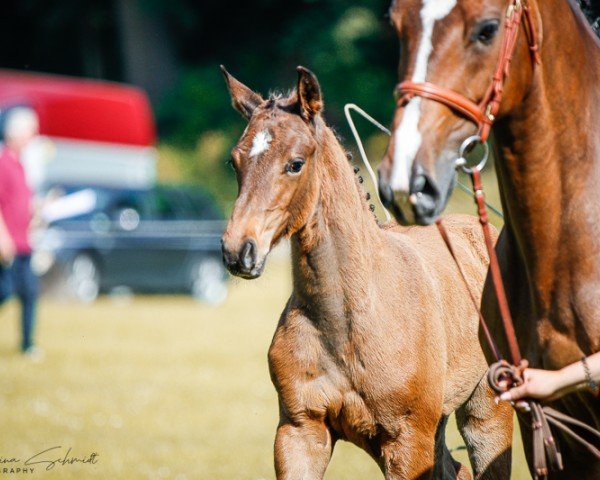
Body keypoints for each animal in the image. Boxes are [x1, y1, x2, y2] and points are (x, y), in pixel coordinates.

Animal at [220, 65, 510, 478]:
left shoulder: (406, 441)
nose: (238, 250)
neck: (348, 317)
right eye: (235, 161)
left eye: (295, 163)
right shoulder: (300, 430)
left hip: (486, 410)